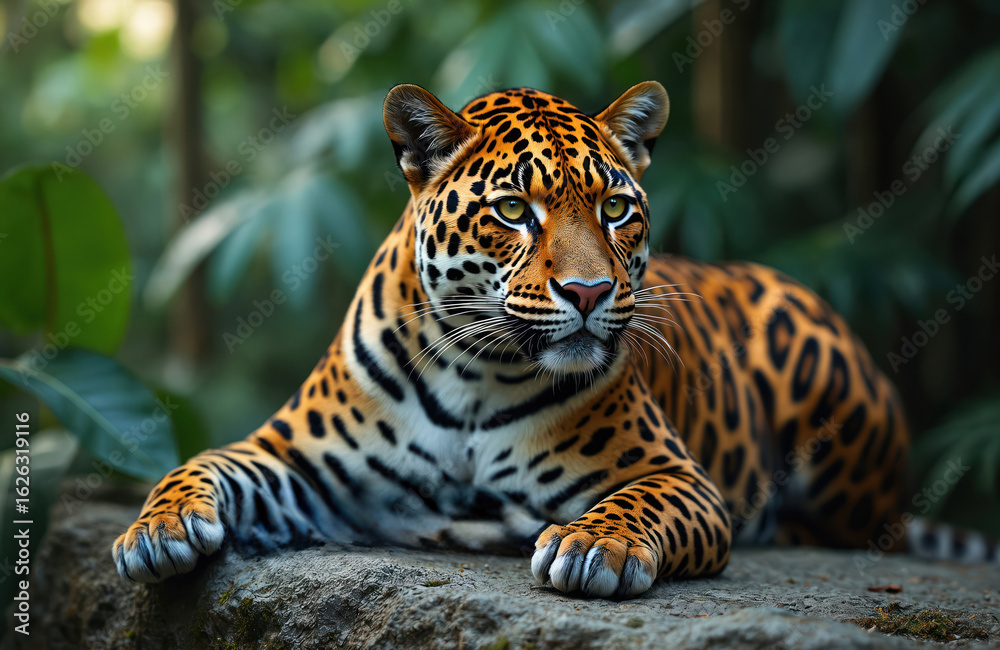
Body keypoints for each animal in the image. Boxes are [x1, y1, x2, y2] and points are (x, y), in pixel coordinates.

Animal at [112, 81, 909, 598]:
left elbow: (638, 503)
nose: (588, 293)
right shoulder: (301, 464)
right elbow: (202, 464)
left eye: (616, 208)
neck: (473, 371)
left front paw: (594, 543)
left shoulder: (679, 476)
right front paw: (158, 529)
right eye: (513, 210)